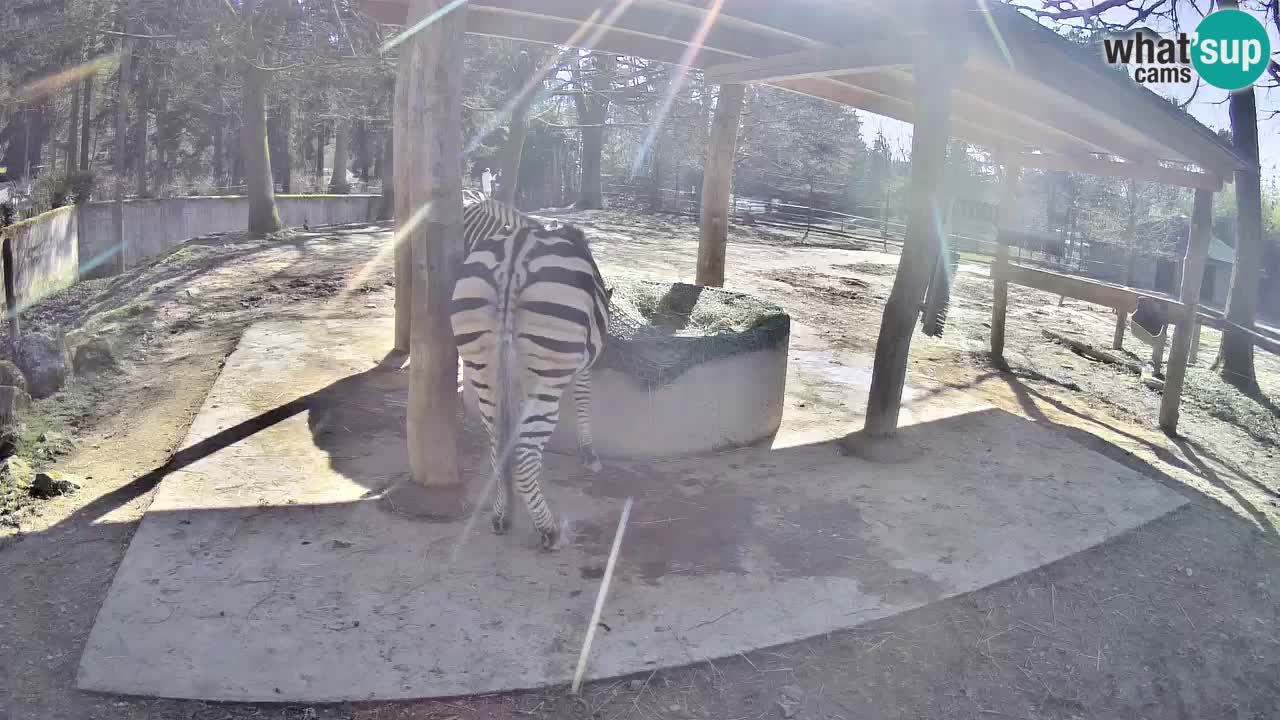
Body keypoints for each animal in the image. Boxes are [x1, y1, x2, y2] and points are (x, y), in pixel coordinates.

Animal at [452, 190, 610, 550]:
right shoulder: (583, 363)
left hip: (484, 368)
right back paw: (548, 530)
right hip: (549, 374)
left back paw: (502, 514)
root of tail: (515, 253)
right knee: (524, 454)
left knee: (497, 440)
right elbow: (583, 398)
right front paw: (588, 452)